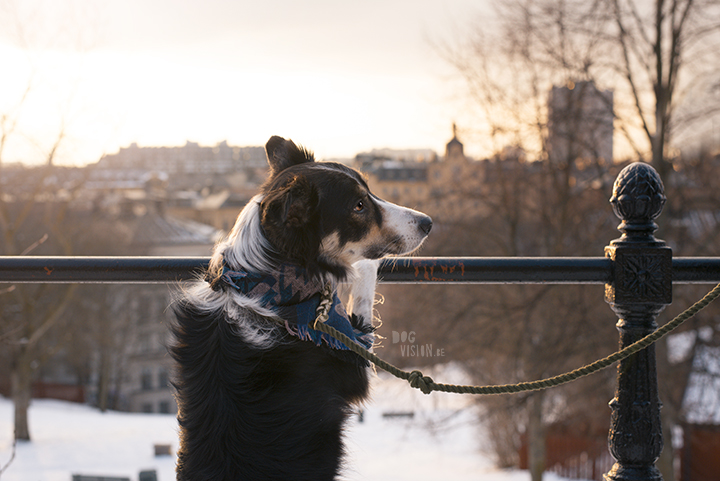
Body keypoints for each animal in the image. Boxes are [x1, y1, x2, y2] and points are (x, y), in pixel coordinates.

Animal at [172, 136, 430, 480]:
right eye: (358, 206)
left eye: (370, 192)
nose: (428, 223)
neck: (265, 289)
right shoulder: (351, 353)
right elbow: (362, 277)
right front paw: (361, 266)